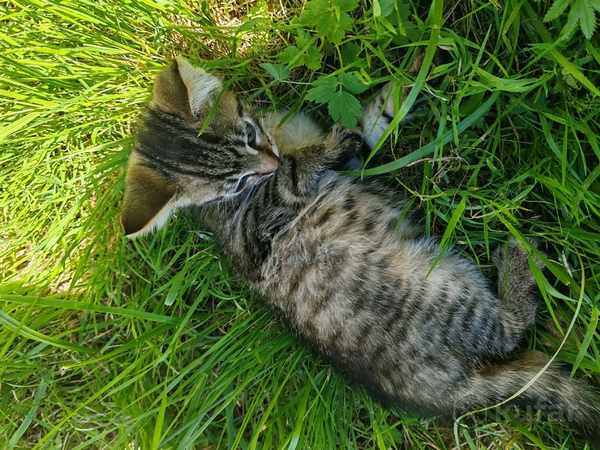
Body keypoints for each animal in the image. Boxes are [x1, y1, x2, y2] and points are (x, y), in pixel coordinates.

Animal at [121, 57, 600, 446]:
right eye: (236, 181)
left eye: (251, 135)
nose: (269, 163)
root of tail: (446, 393)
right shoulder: (257, 232)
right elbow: (293, 178)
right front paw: (317, 152)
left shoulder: (346, 162)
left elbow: (366, 132)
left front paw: (400, 89)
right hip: (445, 286)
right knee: (510, 328)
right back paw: (518, 260)